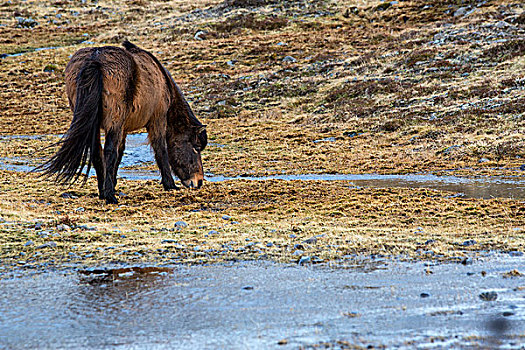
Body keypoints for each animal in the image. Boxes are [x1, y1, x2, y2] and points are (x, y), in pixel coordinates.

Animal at [40, 41, 207, 204]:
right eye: (196, 147)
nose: (198, 182)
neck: (163, 82)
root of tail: (95, 59)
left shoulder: (123, 128)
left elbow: (120, 152)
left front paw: (113, 184)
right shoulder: (157, 120)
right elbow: (160, 149)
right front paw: (170, 185)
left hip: (98, 124)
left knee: (97, 152)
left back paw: (103, 192)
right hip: (114, 121)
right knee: (109, 151)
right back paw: (109, 196)